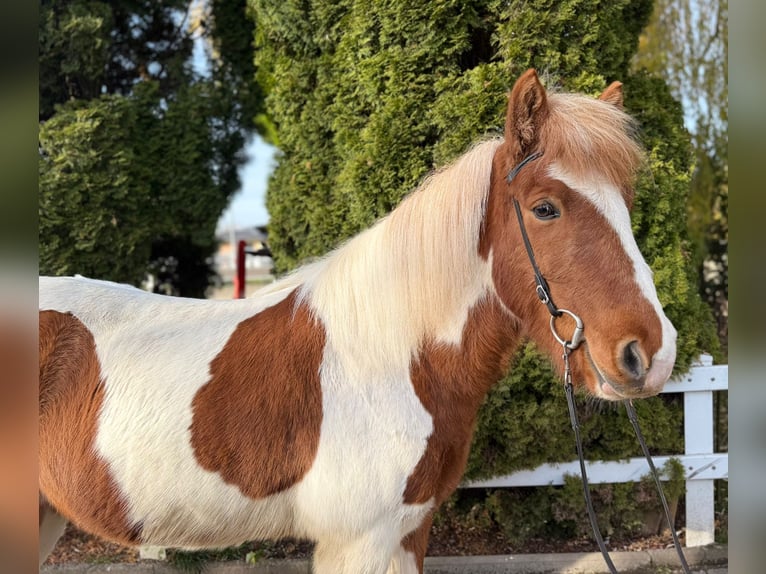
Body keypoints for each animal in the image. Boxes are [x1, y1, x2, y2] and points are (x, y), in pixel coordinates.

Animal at [38, 69, 677, 574]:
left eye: (626, 203)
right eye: (545, 208)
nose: (648, 352)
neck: (388, 361)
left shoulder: (408, 532)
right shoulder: (362, 542)